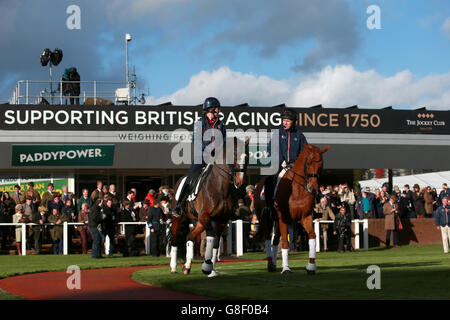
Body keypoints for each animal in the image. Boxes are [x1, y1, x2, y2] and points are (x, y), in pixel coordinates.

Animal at [169, 138, 250, 278]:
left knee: (190, 236)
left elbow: (216, 244)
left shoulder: (221, 221)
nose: (240, 183)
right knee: (175, 239)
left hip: (199, 222)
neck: (220, 187)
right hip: (179, 218)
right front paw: (207, 266)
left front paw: (212, 270)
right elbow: (211, 239)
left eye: (247, 157)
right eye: (234, 156)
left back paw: (187, 266)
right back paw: (174, 267)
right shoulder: (206, 217)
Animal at [255, 144, 328, 274]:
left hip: (277, 221)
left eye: (321, 165)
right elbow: (285, 242)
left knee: (275, 240)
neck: (297, 189)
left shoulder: (305, 217)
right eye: (308, 163)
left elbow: (312, 236)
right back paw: (270, 264)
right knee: (268, 238)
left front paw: (311, 266)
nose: (313, 188)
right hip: (264, 219)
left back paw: (274, 264)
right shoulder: (283, 218)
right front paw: (286, 268)